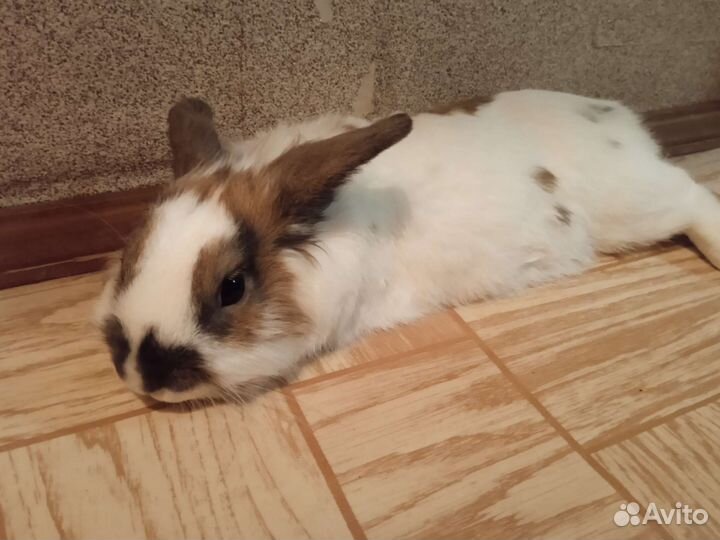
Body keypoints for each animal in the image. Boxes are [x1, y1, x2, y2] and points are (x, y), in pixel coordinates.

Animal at [96, 90, 720, 403]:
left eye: (232, 288)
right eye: (129, 257)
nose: (143, 373)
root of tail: (620, 122)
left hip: (636, 205)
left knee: (692, 194)